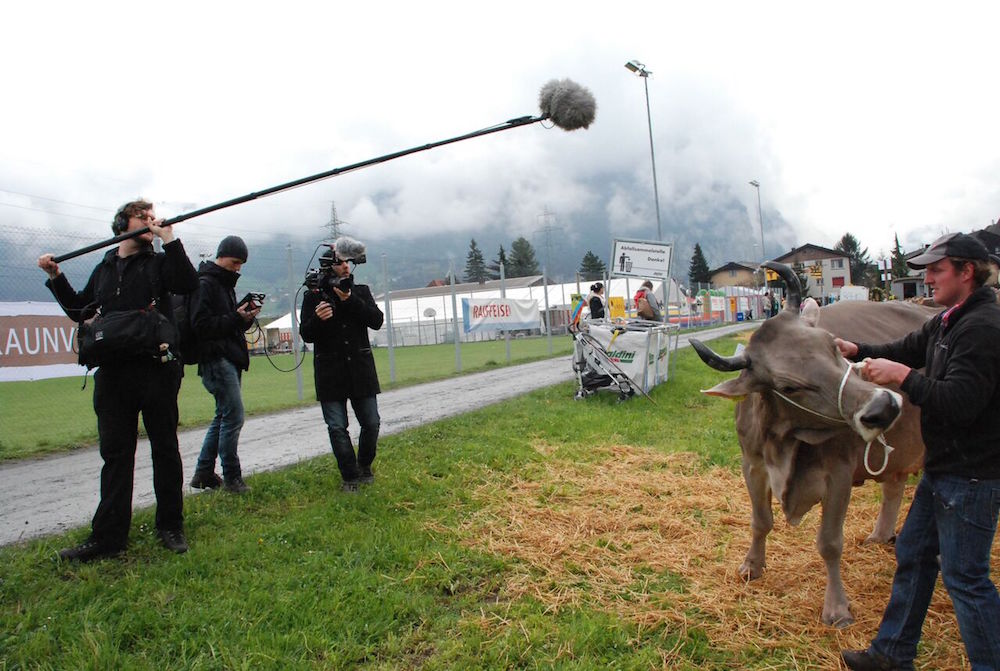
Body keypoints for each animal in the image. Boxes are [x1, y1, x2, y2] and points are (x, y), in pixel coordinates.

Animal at [692, 264, 932, 632]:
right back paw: (880, 536)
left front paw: (837, 608)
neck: (784, 443)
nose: (883, 407)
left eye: (833, 345)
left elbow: (830, 544)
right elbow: (760, 521)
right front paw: (752, 566)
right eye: (789, 386)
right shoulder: (752, 465)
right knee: (894, 485)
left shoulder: (839, 475)